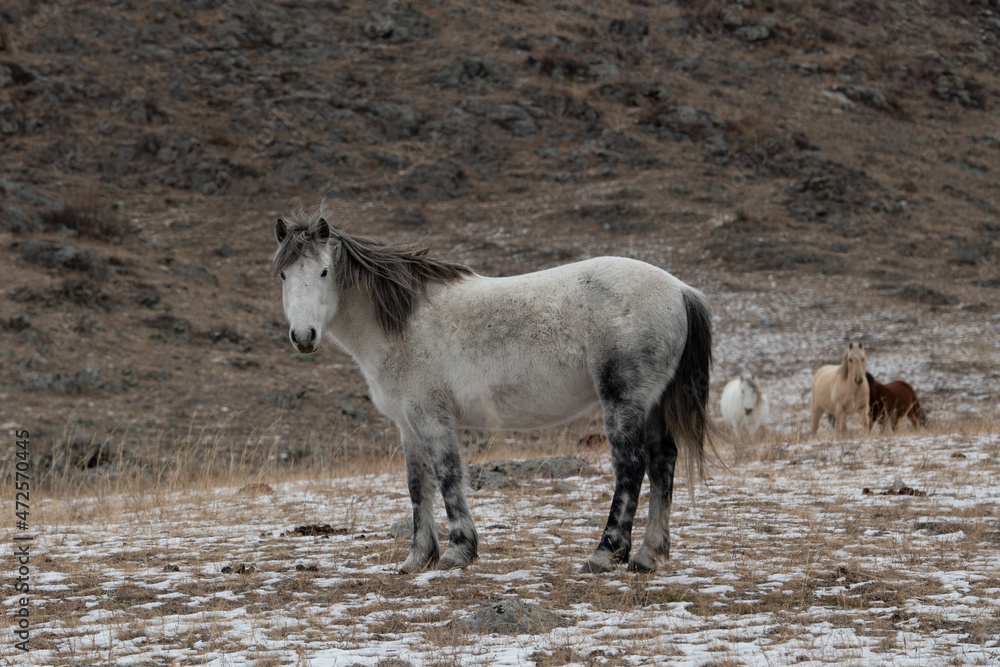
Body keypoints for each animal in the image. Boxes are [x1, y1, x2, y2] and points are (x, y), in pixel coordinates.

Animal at [273, 212, 716, 574]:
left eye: (324, 272)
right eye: (283, 275)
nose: (303, 336)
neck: (401, 323)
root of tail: (680, 289)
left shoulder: (429, 415)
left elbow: (448, 475)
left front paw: (458, 551)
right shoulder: (406, 422)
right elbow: (418, 485)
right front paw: (418, 557)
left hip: (624, 401)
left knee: (631, 467)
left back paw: (605, 553)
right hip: (652, 404)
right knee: (662, 464)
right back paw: (648, 556)